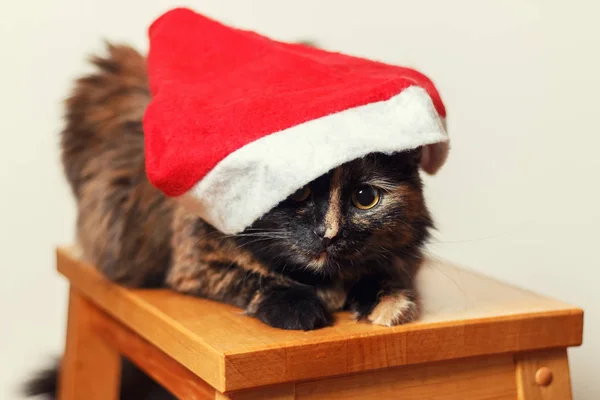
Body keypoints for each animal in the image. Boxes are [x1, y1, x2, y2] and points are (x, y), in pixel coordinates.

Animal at [25, 42, 434, 398]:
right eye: (300, 192)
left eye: (365, 199)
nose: (328, 233)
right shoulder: (195, 262)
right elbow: (254, 279)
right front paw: (302, 307)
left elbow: (384, 272)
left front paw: (389, 301)